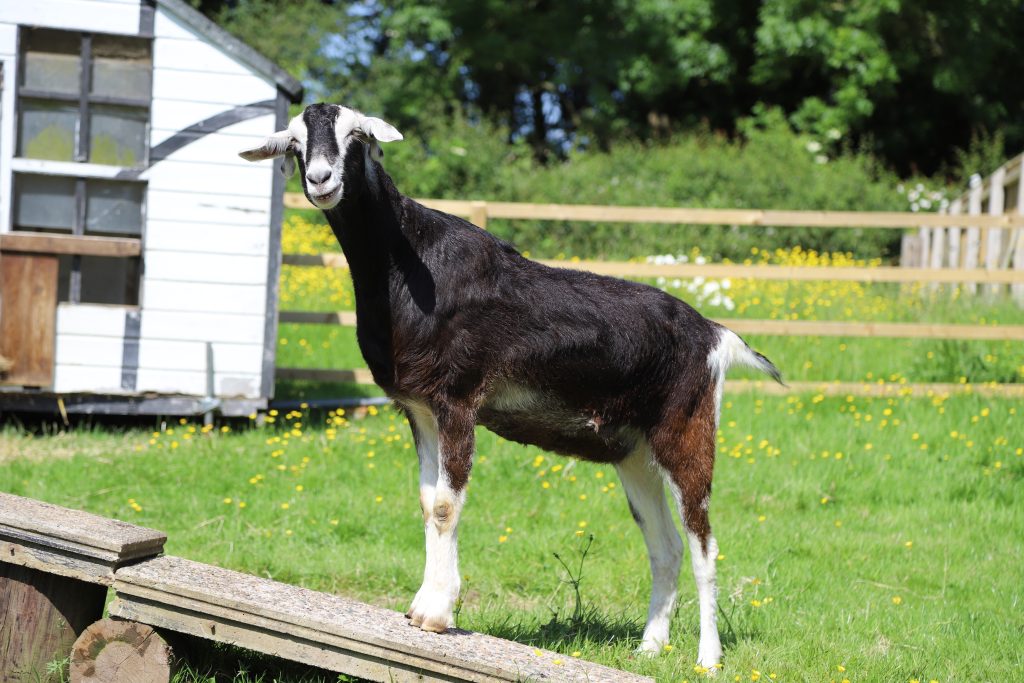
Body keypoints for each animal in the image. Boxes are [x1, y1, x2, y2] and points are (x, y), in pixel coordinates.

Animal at [240, 103, 782, 669]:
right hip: (634, 450)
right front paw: (420, 606)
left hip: (687, 429)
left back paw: (708, 657)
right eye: (295, 144)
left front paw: (436, 614)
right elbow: (426, 502)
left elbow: (445, 506)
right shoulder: (420, 410)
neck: (406, 262)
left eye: (357, 136)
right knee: (666, 546)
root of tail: (713, 335)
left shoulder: (458, 399)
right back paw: (649, 647)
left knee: (703, 544)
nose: (321, 179)